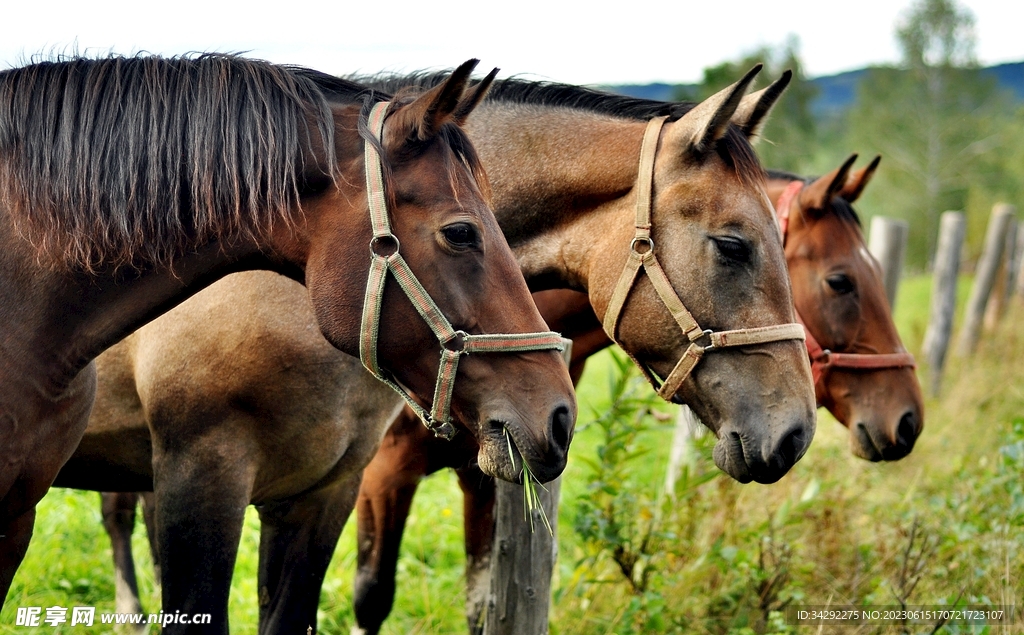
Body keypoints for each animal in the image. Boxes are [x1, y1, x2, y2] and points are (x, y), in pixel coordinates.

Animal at [349, 155, 924, 634]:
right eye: (840, 281)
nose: (909, 419)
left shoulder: (485, 474)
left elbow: (479, 605)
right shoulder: (382, 475)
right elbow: (371, 597)